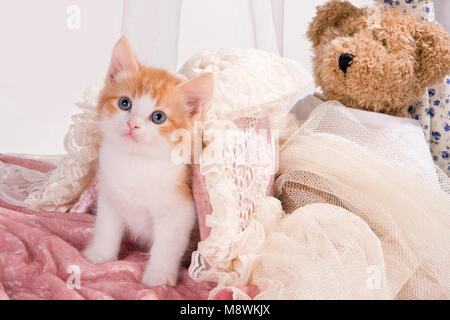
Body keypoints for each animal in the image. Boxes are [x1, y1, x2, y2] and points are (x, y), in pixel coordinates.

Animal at [83, 37, 214, 288]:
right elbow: (106, 226)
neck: (137, 162)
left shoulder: (180, 211)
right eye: (125, 103)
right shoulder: (110, 195)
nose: (133, 124)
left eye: (158, 117)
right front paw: (100, 255)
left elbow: (167, 245)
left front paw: (159, 275)